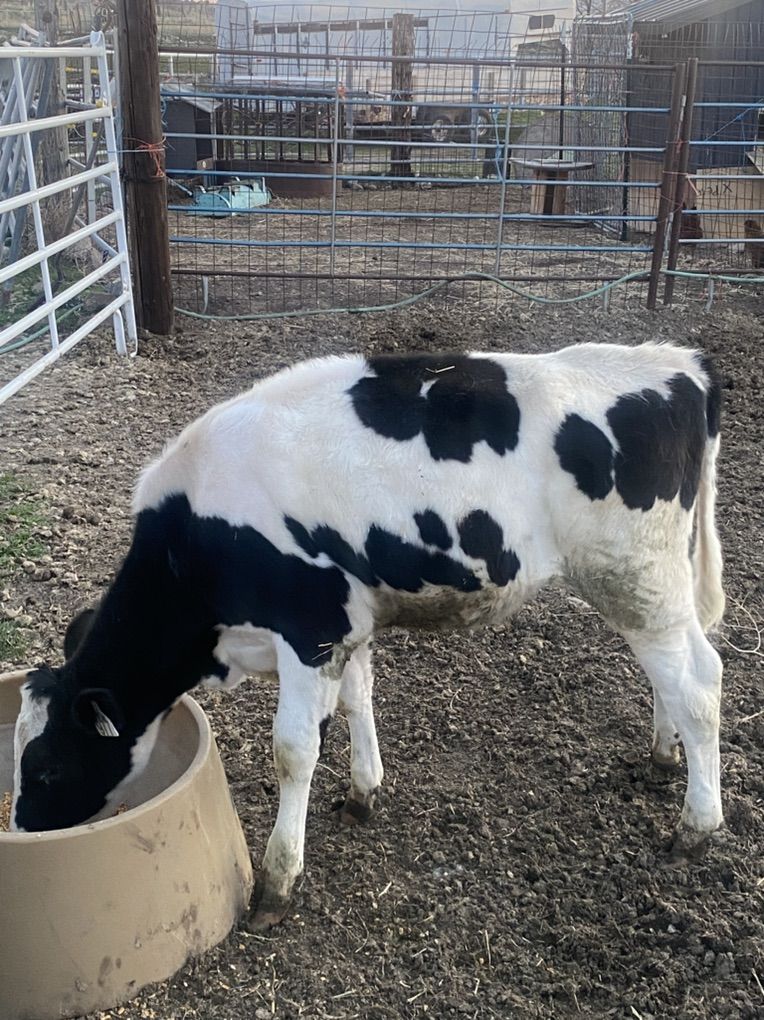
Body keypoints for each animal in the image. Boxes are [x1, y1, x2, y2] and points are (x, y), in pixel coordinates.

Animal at [11, 342, 725, 931]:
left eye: (45, 766)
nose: (22, 829)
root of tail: (680, 366)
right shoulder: (346, 623)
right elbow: (358, 699)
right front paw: (363, 792)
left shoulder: (310, 628)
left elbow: (293, 751)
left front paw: (278, 881)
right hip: (650, 586)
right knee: (670, 677)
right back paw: (663, 757)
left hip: (634, 575)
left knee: (698, 681)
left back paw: (697, 825)